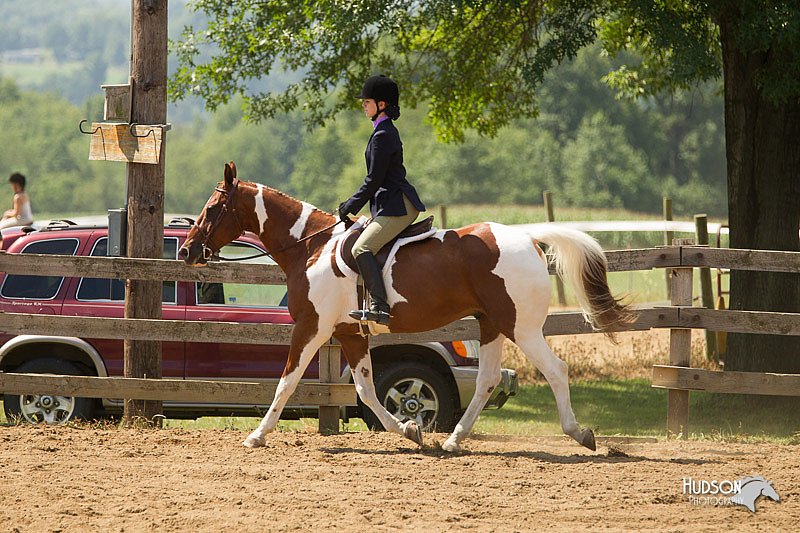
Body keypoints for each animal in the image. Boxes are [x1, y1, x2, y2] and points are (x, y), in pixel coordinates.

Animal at [178, 160, 636, 450]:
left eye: (213, 208)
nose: (186, 251)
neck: (310, 247)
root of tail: (528, 238)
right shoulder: (349, 333)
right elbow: (364, 389)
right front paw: (409, 430)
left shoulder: (312, 326)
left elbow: (287, 381)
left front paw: (256, 435)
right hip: (489, 323)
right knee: (487, 380)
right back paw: (452, 441)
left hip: (520, 326)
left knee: (555, 370)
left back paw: (580, 434)